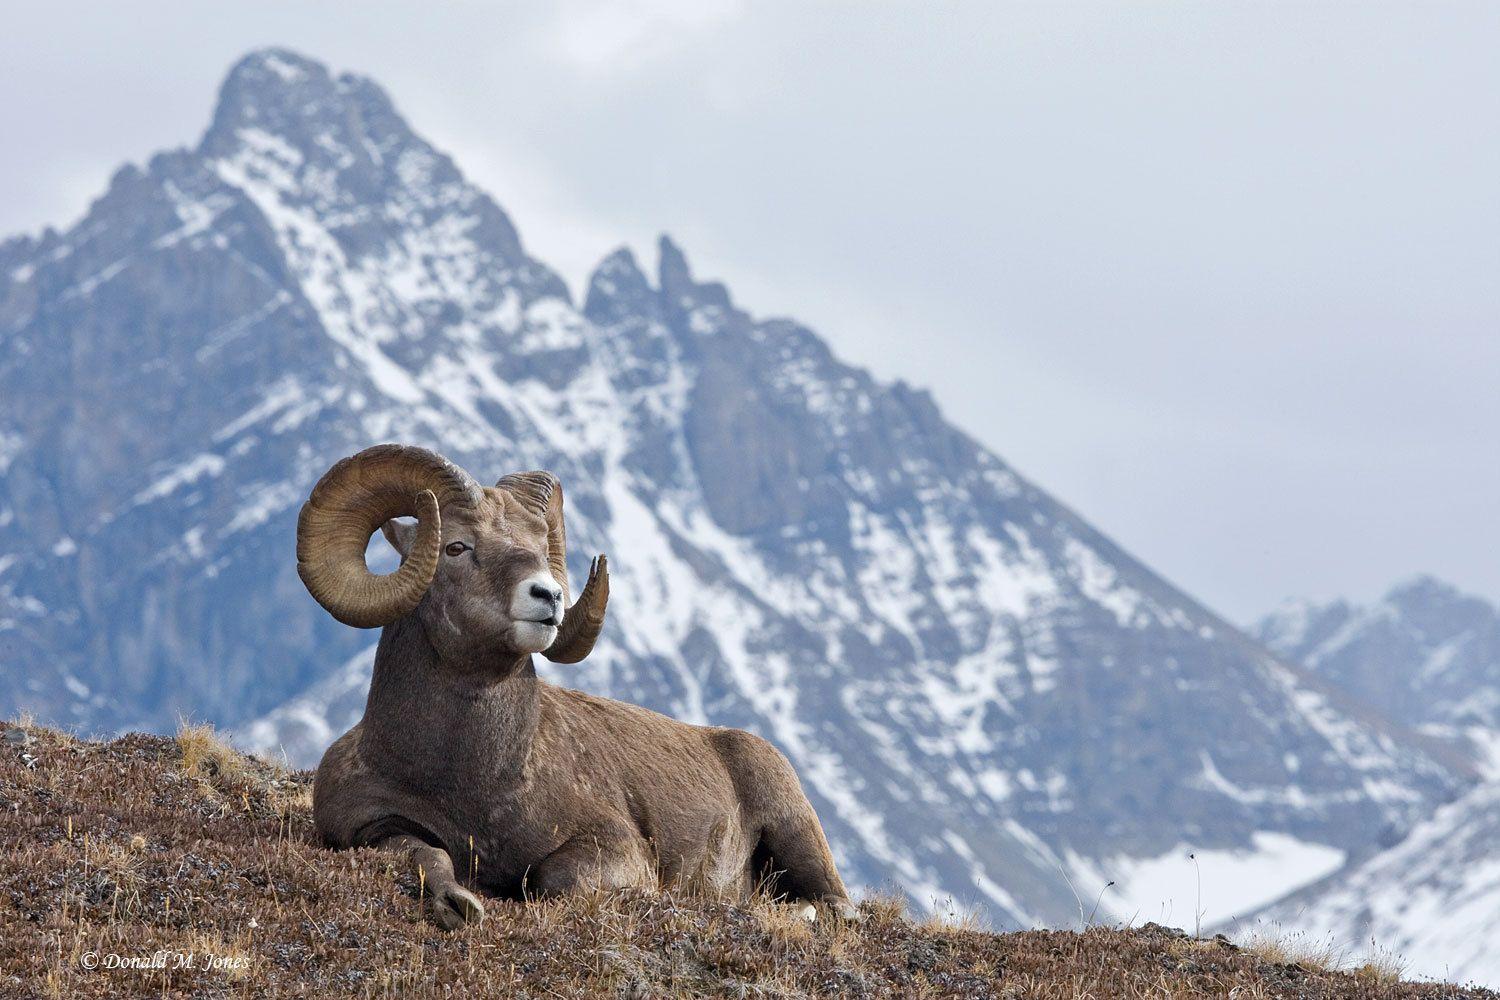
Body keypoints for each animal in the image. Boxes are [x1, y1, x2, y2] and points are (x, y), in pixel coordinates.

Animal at [297, 444, 856, 928]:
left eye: (539, 549)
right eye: (455, 546)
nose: (549, 596)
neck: (468, 781)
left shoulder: (612, 847)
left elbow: (554, 879)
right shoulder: (369, 827)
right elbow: (425, 852)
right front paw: (456, 903)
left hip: (795, 833)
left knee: (835, 906)